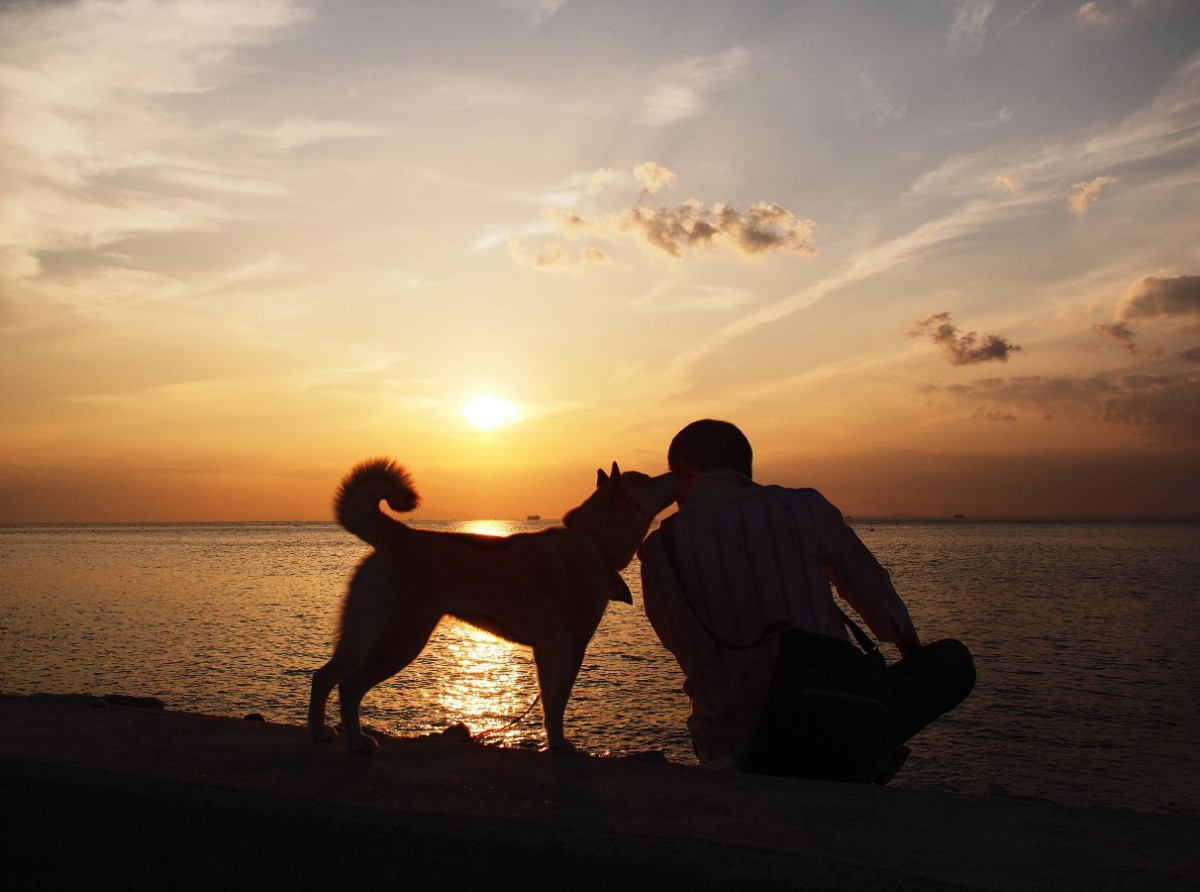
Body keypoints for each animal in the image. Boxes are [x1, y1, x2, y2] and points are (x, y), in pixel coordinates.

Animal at [307, 461, 686, 753]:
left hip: (362, 635)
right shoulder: (571, 647)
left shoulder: (546, 651)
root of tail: (397, 534)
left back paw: (319, 732)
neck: (594, 542)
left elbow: (548, 704)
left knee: (323, 676)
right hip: (401, 640)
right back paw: (357, 742)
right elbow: (559, 703)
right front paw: (561, 746)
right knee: (349, 686)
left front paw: (552, 742)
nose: (675, 471)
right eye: (649, 479)